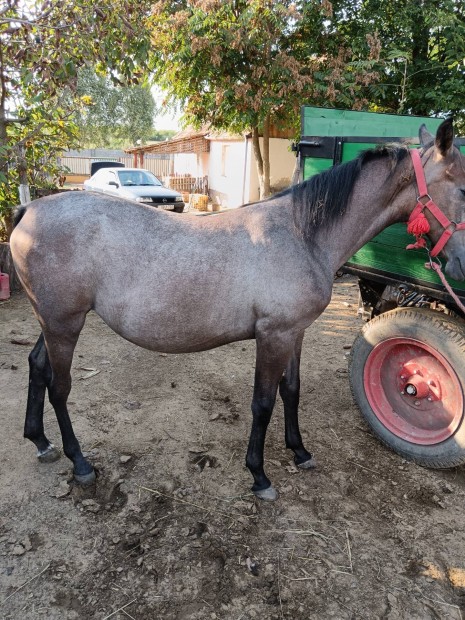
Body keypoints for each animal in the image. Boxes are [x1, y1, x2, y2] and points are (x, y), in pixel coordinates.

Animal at [9, 120, 464, 498]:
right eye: (461, 187)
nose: (460, 265)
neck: (302, 235)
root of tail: (28, 210)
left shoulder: (295, 333)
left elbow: (291, 391)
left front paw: (300, 452)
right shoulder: (273, 335)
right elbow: (263, 402)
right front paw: (259, 475)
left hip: (52, 322)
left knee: (37, 366)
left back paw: (41, 442)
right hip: (64, 324)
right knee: (59, 387)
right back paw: (80, 462)